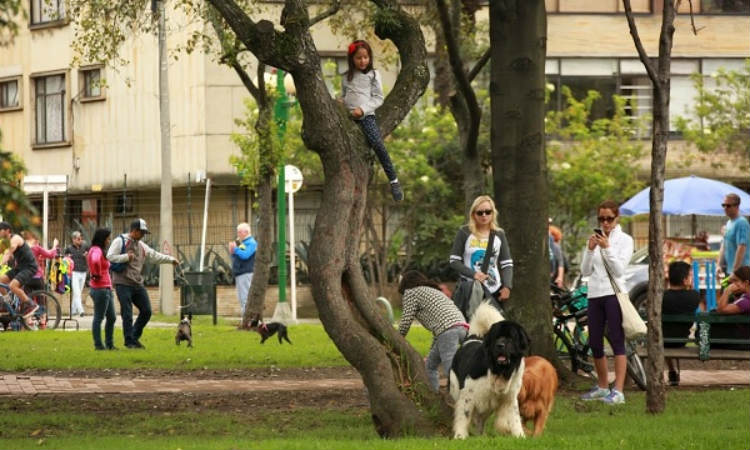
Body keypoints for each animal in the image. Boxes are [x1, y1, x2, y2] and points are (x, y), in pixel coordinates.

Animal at [450, 302, 532, 440]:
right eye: (496, 337)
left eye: (511, 338)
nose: (500, 345)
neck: (499, 371)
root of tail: (471, 339)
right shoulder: (468, 393)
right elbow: (464, 415)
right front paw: (460, 436)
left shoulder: (510, 396)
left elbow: (514, 417)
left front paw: (519, 436)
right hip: (456, 387)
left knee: (480, 419)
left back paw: (481, 435)